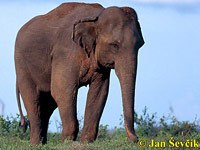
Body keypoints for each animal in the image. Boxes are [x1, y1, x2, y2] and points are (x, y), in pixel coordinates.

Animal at [14, 2, 145, 145]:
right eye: (114, 45)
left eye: (140, 45)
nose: (136, 139)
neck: (97, 16)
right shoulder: (66, 52)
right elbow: (62, 90)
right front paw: (66, 143)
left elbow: (100, 92)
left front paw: (85, 142)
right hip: (22, 65)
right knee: (32, 98)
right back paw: (36, 144)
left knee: (48, 104)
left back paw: (42, 143)